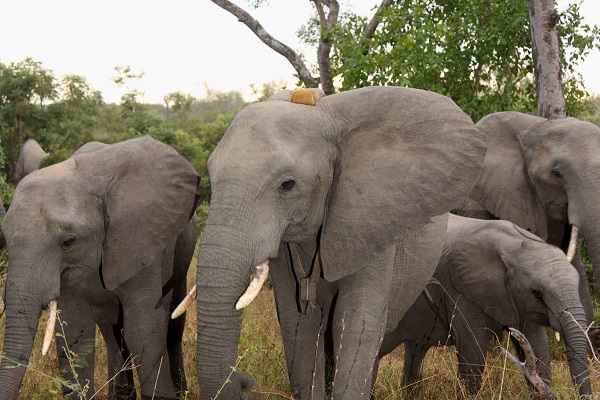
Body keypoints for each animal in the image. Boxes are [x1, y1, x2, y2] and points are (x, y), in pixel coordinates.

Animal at [0, 136, 202, 398]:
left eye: (68, 242)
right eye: (4, 238)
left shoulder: (140, 241)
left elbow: (143, 329)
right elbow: (76, 333)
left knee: (173, 322)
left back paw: (181, 392)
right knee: (112, 331)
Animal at [382, 212, 592, 396]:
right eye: (537, 293)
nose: (585, 395)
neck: (515, 245)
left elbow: (537, 344)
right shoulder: (460, 289)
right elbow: (473, 347)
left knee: (415, 351)